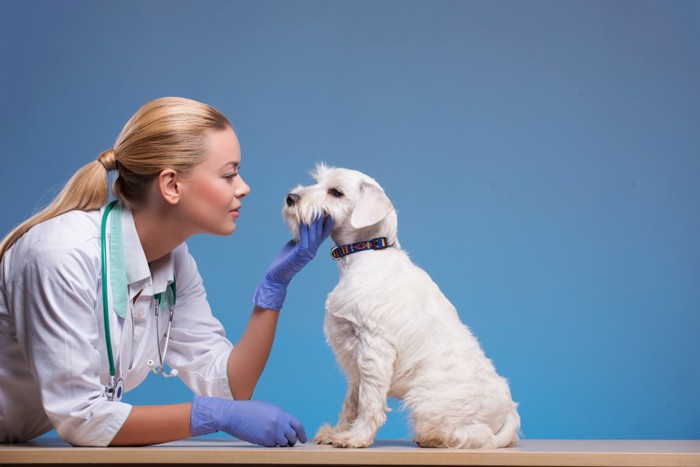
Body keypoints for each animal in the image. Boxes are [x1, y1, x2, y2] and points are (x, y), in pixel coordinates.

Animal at [284, 164, 520, 450]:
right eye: (318, 181)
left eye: (336, 192)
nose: (291, 198)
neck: (365, 252)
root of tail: (510, 411)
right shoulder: (355, 357)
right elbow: (352, 400)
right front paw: (337, 432)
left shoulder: (374, 348)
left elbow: (369, 400)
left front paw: (355, 437)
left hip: (428, 399)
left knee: (475, 435)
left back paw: (433, 437)